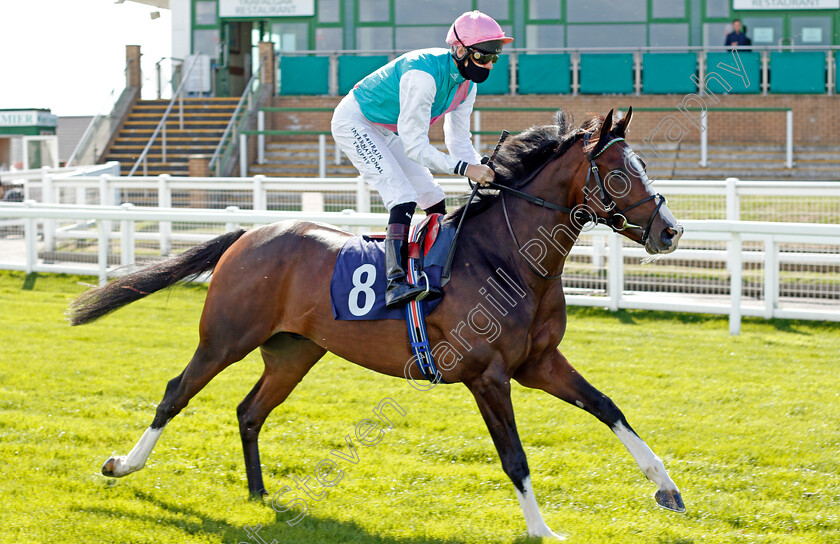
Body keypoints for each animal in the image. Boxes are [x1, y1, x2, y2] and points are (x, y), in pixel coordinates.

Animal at [72, 108, 684, 536]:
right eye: (618, 173)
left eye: (644, 166)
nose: (671, 231)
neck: (506, 256)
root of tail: (248, 234)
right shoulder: (487, 375)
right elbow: (515, 456)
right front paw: (543, 531)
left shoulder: (539, 362)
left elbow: (609, 407)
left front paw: (667, 488)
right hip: (225, 337)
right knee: (176, 392)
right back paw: (123, 465)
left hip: (293, 352)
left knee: (249, 411)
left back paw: (259, 493)